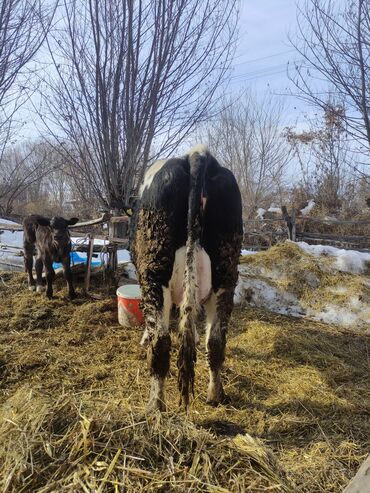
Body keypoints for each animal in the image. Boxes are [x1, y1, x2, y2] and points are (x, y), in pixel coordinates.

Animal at [131, 144, 243, 410]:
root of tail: (197, 154)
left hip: (154, 272)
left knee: (161, 342)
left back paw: (155, 405)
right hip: (226, 273)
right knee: (215, 341)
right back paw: (216, 395)